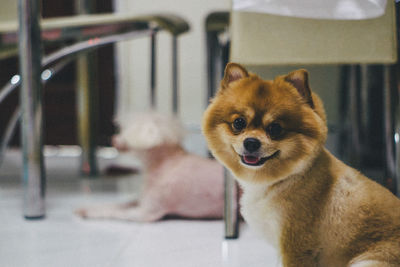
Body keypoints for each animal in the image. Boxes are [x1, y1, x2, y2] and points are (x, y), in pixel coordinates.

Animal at [75, 112, 225, 222]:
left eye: (128, 133)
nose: (113, 139)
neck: (164, 165)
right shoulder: (141, 201)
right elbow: (117, 205)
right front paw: (86, 207)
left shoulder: (145, 212)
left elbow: (114, 212)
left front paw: (87, 212)